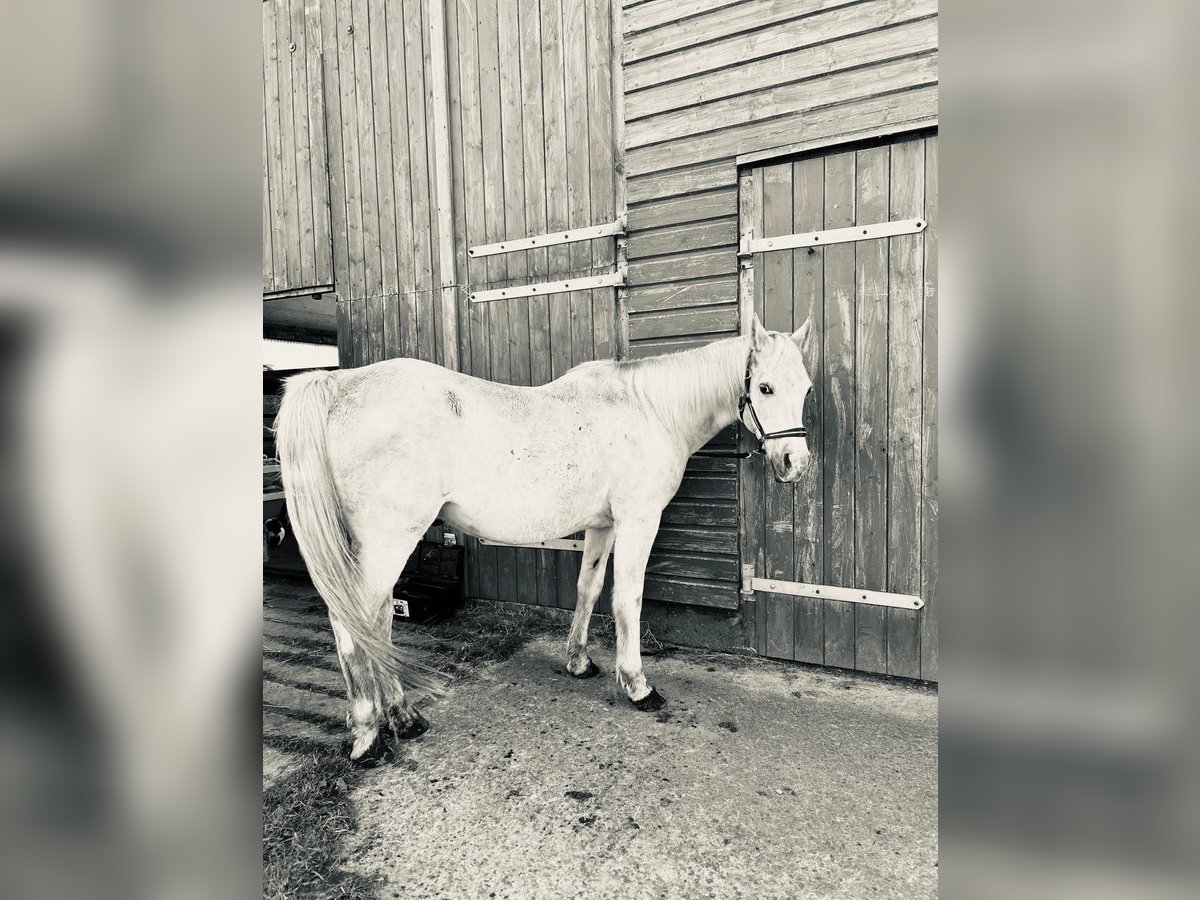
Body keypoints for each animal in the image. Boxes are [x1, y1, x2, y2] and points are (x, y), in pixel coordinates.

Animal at [274, 314, 816, 763]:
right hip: (389, 539)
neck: (647, 409)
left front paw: (579, 661)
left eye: (807, 389)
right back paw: (368, 735)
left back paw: (404, 718)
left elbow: (589, 590)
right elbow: (628, 599)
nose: (795, 465)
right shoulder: (638, 520)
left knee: (379, 620)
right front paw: (637, 685)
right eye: (765, 387)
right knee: (354, 623)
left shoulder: (603, 526)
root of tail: (339, 384)